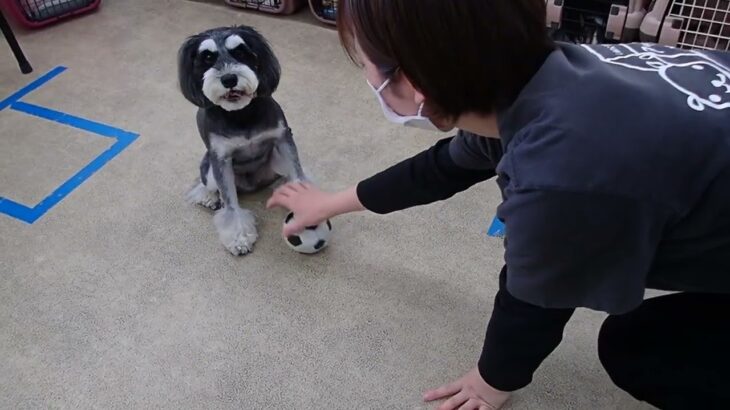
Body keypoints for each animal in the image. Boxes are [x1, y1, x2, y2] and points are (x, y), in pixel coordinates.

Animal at [181, 25, 308, 255]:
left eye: (240, 51)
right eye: (207, 57)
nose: (229, 79)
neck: (240, 114)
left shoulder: (283, 140)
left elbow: (298, 176)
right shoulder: (221, 160)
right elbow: (231, 206)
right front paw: (239, 238)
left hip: (276, 162)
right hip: (210, 170)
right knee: (206, 186)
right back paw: (209, 198)